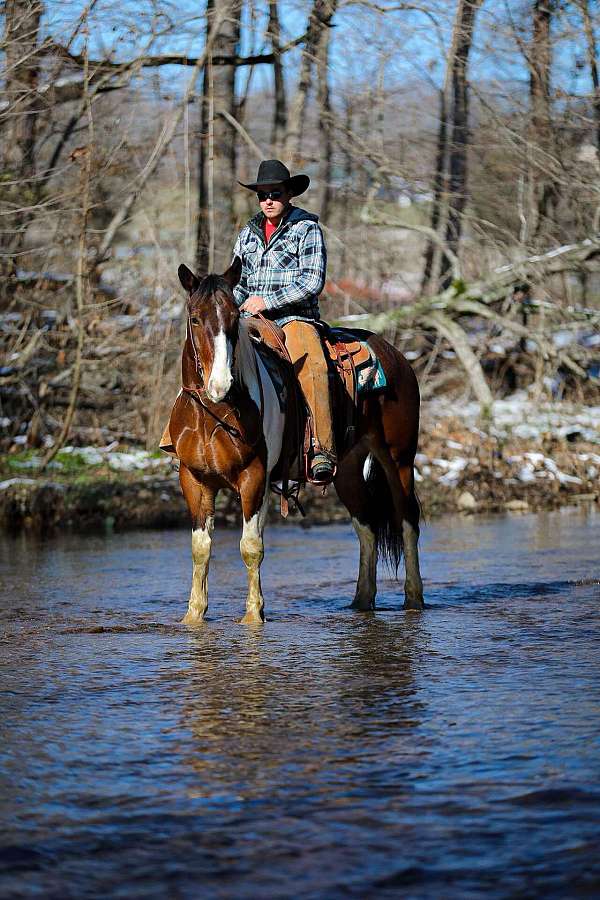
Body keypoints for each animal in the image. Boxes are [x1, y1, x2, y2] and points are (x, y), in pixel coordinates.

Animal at [166, 258, 424, 624]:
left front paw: (253, 615)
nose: (221, 385)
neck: (212, 414)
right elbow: (200, 548)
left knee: (407, 520)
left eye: (233, 317)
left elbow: (251, 546)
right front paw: (193, 615)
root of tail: (395, 355)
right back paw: (361, 600)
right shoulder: (194, 479)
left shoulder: (254, 477)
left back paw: (413, 598)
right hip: (347, 468)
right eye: (195, 318)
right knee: (366, 526)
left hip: (398, 458)